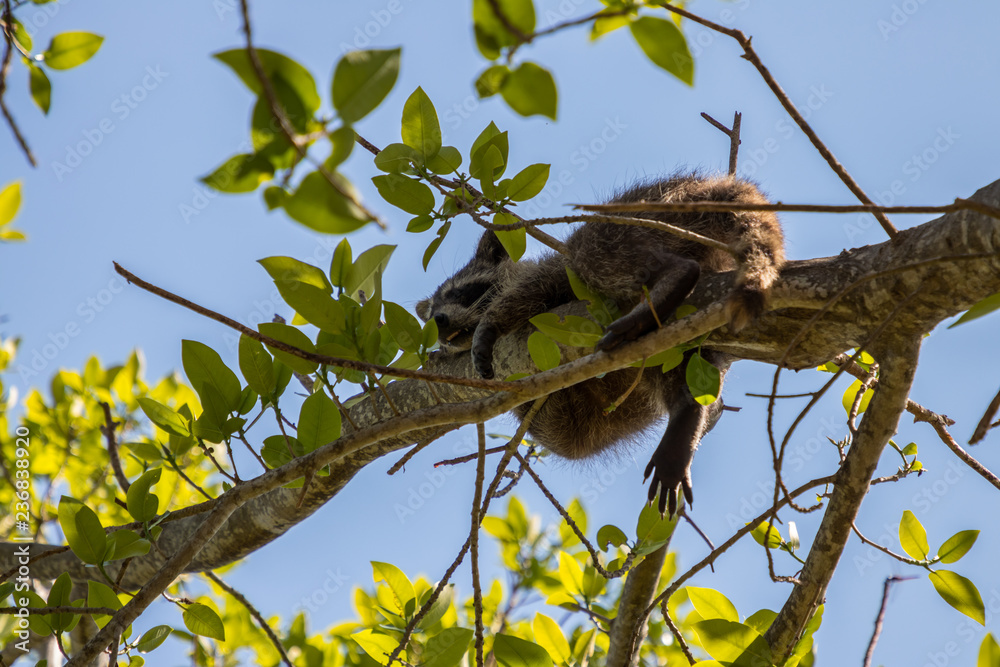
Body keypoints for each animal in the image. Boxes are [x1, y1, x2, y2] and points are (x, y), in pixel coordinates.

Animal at [416, 173, 785, 516]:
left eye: (459, 292)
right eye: (430, 316)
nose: (439, 323)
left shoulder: (552, 270)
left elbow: (531, 290)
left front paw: (490, 324)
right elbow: (569, 436)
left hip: (652, 213)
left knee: (592, 248)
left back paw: (674, 275)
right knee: (683, 375)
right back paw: (686, 412)